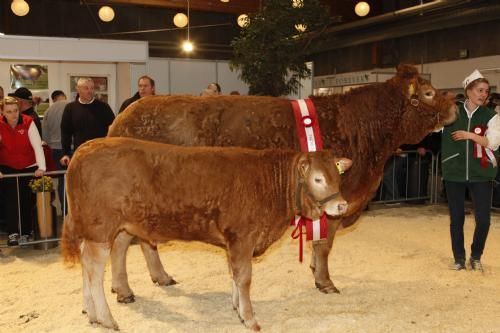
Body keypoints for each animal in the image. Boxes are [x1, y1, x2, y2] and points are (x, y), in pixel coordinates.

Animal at [61, 137, 352, 330]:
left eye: (338, 177)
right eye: (317, 179)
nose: (342, 205)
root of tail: (85, 149)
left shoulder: (233, 242)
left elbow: (234, 275)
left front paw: (237, 308)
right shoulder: (242, 236)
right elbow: (244, 278)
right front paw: (250, 318)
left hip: (95, 231)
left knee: (86, 263)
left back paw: (91, 313)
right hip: (101, 229)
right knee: (94, 269)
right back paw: (107, 318)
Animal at [108, 63, 458, 300]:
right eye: (428, 92)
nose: (455, 104)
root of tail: (125, 116)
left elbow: (319, 243)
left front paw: (317, 274)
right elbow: (325, 244)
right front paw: (326, 282)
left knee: (141, 241)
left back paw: (158, 278)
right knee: (123, 243)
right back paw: (124, 289)